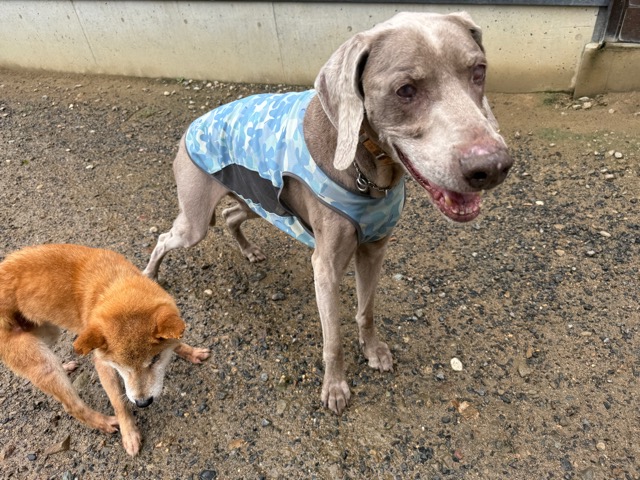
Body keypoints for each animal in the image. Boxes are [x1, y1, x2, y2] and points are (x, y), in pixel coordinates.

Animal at [0, 244, 210, 455]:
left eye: (156, 359)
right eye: (119, 366)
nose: (143, 403)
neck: (113, 283)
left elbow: (176, 342)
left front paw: (191, 352)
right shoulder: (102, 362)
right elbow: (119, 402)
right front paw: (129, 433)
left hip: (49, 331)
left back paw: (65, 366)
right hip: (43, 362)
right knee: (71, 406)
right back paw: (103, 422)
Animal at [143, 12, 513, 414]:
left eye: (479, 71)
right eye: (406, 90)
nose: (492, 167)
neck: (369, 172)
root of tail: (190, 127)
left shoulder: (373, 249)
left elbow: (366, 310)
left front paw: (373, 350)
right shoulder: (325, 266)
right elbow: (332, 337)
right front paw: (335, 387)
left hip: (259, 201)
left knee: (230, 216)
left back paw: (249, 251)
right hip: (197, 219)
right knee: (165, 237)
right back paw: (150, 274)